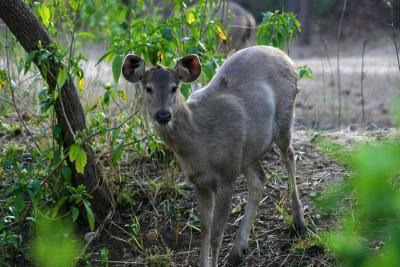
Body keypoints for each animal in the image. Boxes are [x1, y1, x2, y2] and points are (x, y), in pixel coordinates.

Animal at [122, 46, 306, 267]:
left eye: (175, 87)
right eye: (148, 88)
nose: (163, 115)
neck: (200, 143)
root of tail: (288, 59)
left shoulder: (226, 176)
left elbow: (216, 235)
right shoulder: (200, 181)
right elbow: (204, 230)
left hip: (284, 118)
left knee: (289, 156)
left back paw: (299, 223)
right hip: (245, 152)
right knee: (259, 179)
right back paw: (238, 251)